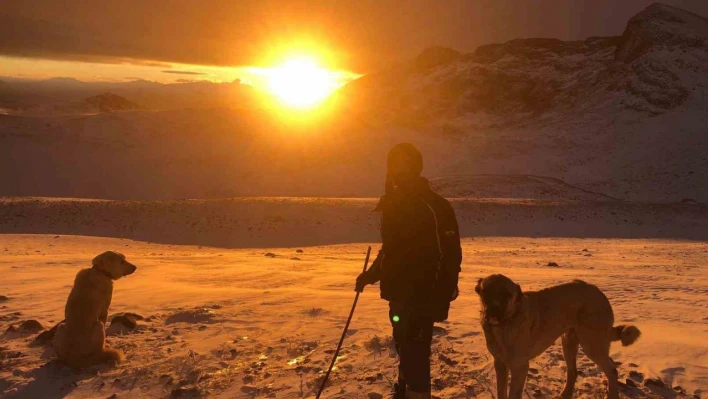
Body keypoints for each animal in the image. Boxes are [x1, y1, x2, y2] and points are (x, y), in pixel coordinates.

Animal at [476, 276, 640, 399]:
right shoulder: (500, 364)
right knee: (573, 372)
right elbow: (501, 391)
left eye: (506, 296)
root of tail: (599, 292)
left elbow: (513, 394)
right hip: (569, 342)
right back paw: (565, 394)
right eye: (485, 292)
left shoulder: (519, 367)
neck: (505, 324)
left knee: (611, 370)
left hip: (591, 343)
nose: (492, 313)